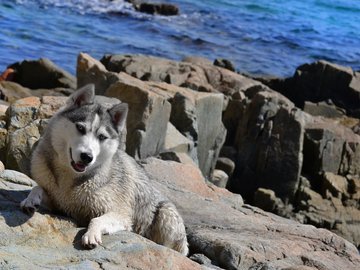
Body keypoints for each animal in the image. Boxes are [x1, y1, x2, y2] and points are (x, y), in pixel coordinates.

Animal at [20, 84, 188, 255]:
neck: (71, 177)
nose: (87, 156)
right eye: (80, 128)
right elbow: (37, 188)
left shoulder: (120, 213)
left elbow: (96, 219)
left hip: (166, 214)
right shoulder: (58, 202)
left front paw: (91, 234)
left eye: (101, 137)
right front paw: (30, 199)